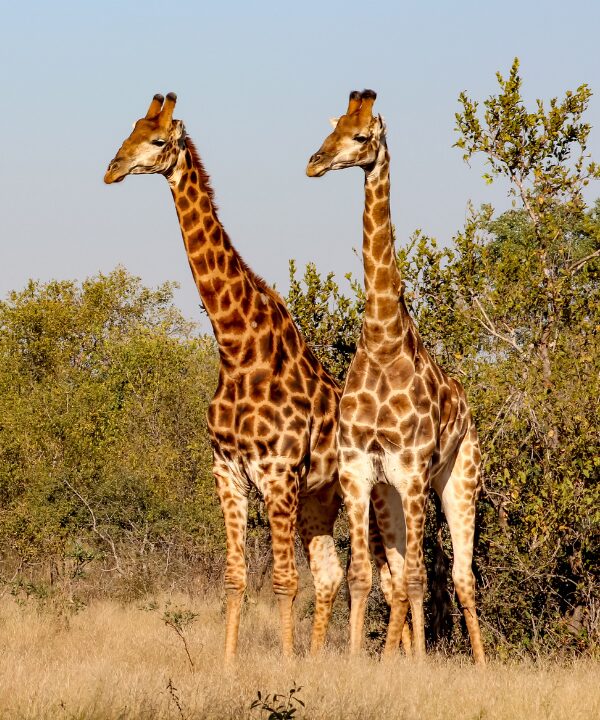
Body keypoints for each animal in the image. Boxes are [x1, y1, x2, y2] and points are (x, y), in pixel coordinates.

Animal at [104, 93, 345, 661]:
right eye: (128, 131)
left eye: (156, 140)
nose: (112, 169)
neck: (237, 348)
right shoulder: (227, 471)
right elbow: (235, 577)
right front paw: (230, 665)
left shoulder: (278, 474)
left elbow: (284, 580)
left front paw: (285, 664)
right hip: (320, 499)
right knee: (333, 574)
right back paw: (323, 657)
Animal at [306, 90, 485, 664]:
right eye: (332, 126)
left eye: (362, 136)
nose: (315, 162)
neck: (383, 342)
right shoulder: (359, 472)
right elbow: (363, 576)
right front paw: (360, 660)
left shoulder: (412, 472)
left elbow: (417, 579)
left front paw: (408, 662)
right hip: (390, 496)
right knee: (404, 575)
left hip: (457, 480)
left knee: (457, 577)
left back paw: (476, 663)